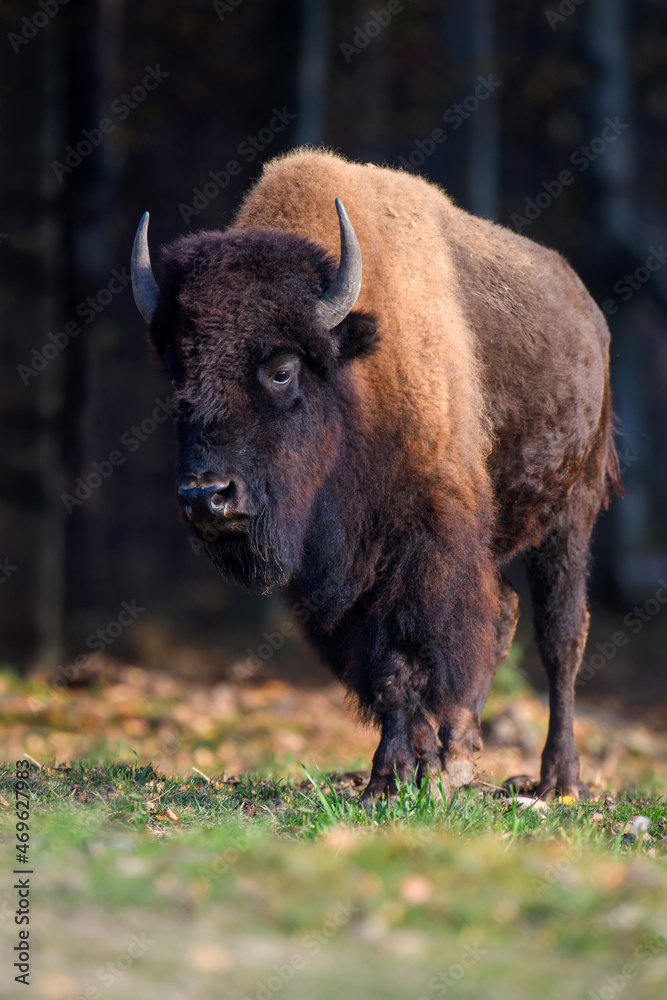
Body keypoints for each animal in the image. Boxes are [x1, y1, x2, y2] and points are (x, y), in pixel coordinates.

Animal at [130, 150, 620, 804]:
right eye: (178, 372)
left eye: (282, 369)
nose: (207, 497)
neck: (354, 373)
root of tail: (591, 317)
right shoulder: (339, 579)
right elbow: (384, 669)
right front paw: (414, 768)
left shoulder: (421, 542)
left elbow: (404, 655)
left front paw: (394, 778)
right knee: (503, 613)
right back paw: (462, 756)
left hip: (571, 513)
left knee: (560, 636)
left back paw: (557, 781)